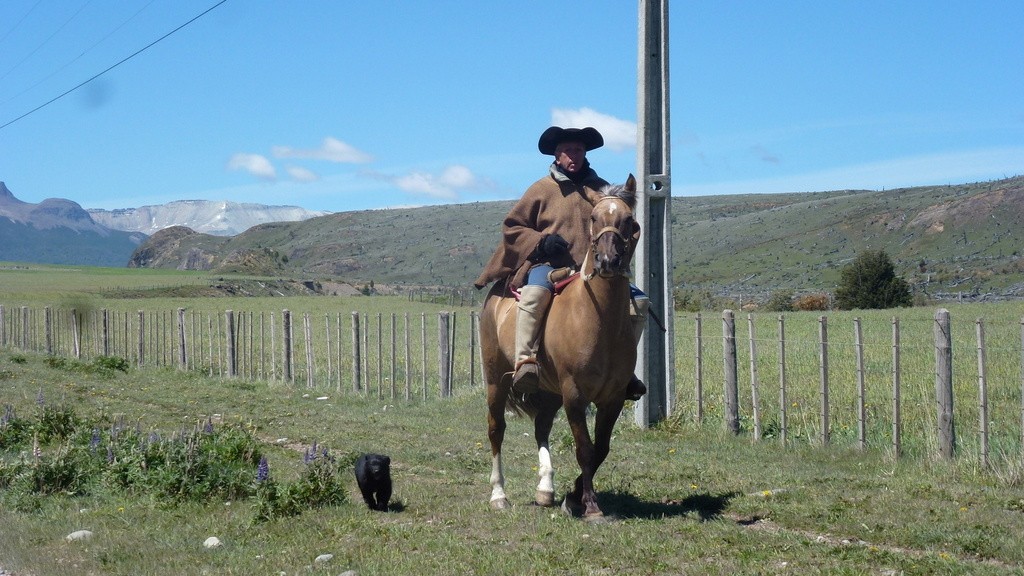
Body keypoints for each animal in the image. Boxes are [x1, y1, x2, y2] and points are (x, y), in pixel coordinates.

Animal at [479, 172, 638, 518]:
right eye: (594, 218)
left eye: (630, 220)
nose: (608, 261)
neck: (598, 319)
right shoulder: (574, 394)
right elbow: (585, 449)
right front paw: (589, 505)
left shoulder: (613, 398)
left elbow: (601, 449)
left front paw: (573, 496)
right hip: (496, 380)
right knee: (496, 429)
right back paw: (498, 495)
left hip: (549, 390)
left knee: (541, 428)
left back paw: (545, 489)